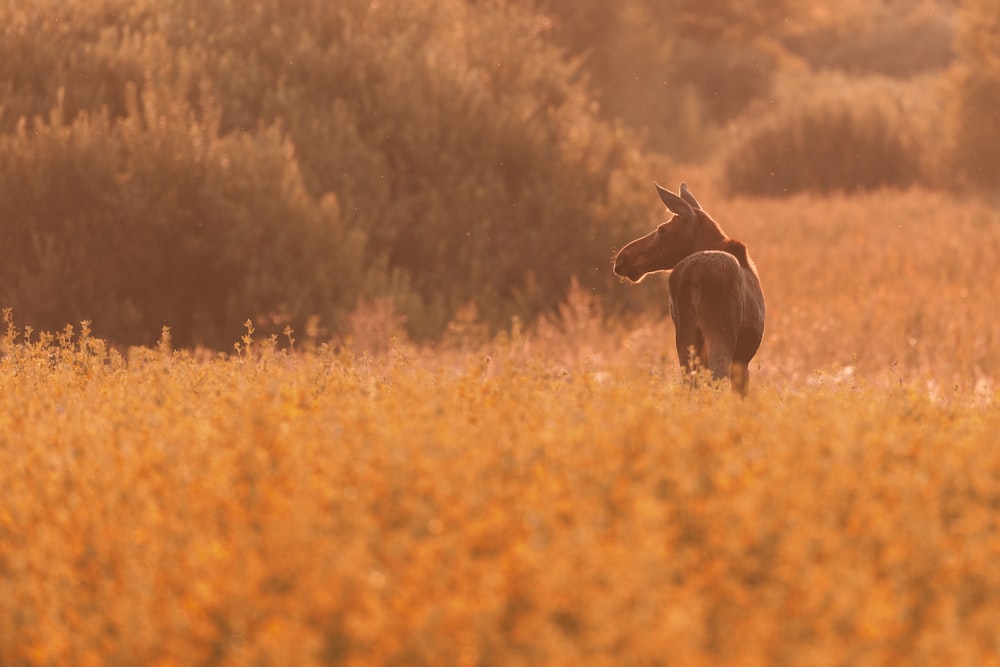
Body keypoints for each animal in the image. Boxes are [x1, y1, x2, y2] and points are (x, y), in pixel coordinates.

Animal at [608, 181, 764, 396]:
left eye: (662, 229)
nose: (622, 258)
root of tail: (694, 277)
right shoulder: (743, 361)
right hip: (720, 333)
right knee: (716, 376)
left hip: (685, 335)